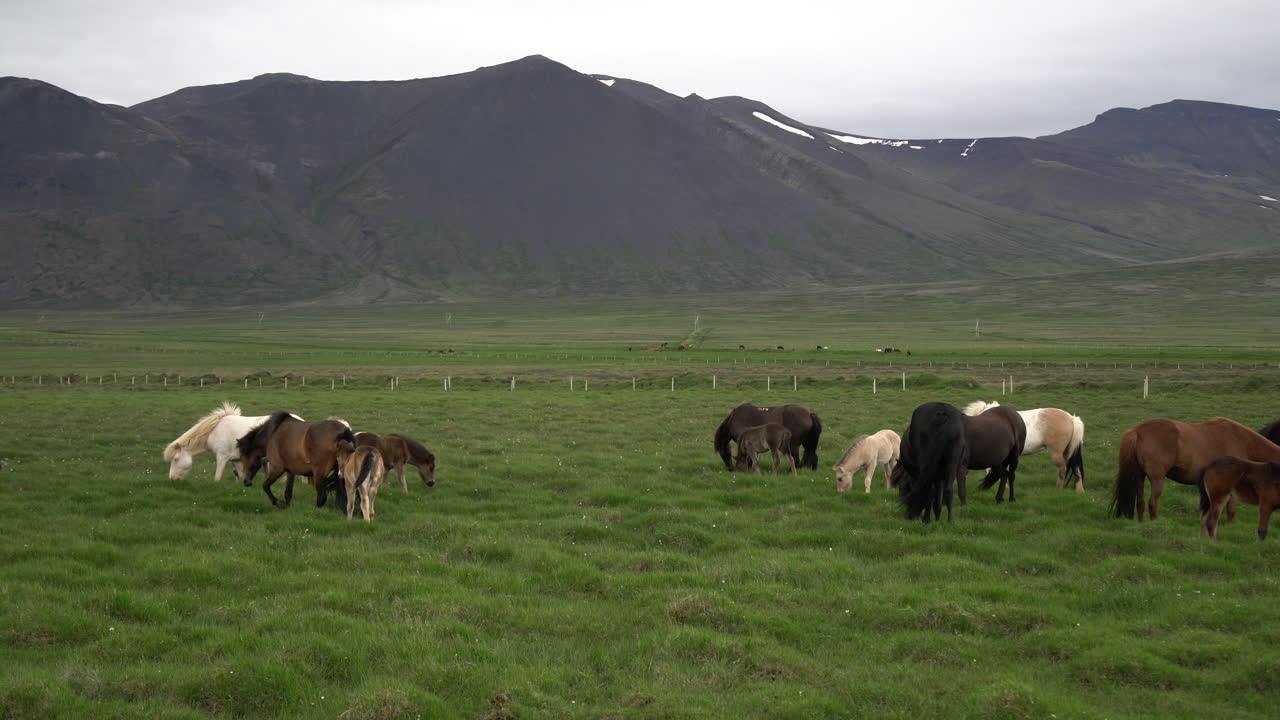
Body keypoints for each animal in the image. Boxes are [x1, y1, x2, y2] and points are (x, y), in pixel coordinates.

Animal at [164, 402, 297, 481]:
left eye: (175, 459)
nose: (172, 478)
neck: (214, 430)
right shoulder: (236, 460)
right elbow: (241, 477)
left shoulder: (222, 458)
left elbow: (217, 477)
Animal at [1108, 417, 1280, 521]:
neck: (1241, 440)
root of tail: (1137, 430)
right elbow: (1231, 510)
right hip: (1157, 479)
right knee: (1152, 503)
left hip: (1138, 477)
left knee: (1141, 503)